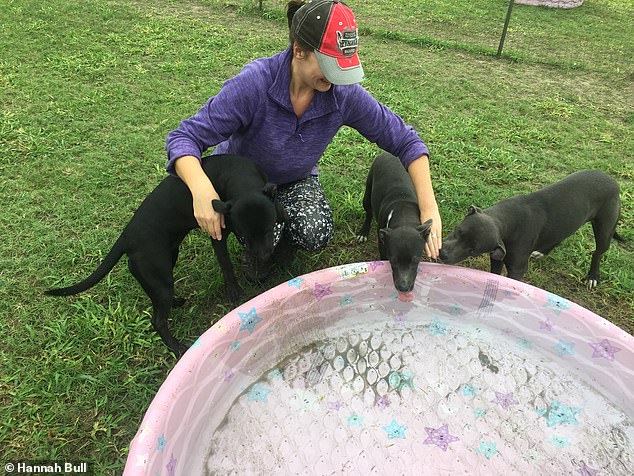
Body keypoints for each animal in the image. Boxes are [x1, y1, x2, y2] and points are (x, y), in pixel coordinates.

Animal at [48, 154, 286, 356]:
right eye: (242, 237)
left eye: (269, 229)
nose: (264, 256)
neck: (239, 176)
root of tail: (126, 237)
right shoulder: (217, 236)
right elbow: (226, 266)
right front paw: (234, 291)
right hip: (159, 276)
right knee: (158, 320)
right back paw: (176, 347)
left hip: (166, 264)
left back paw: (176, 302)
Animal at [354, 152, 432, 302]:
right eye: (393, 261)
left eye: (416, 261)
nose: (403, 287)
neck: (404, 217)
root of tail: (388, 154)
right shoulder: (383, 245)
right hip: (367, 193)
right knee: (368, 213)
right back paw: (363, 232)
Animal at [436, 171, 620, 290]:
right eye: (458, 231)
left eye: (472, 250)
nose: (443, 254)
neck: (506, 221)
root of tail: (613, 181)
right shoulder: (496, 256)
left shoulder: (517, 270)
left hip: (605, 230)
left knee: (598, 252)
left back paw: (593, 277)